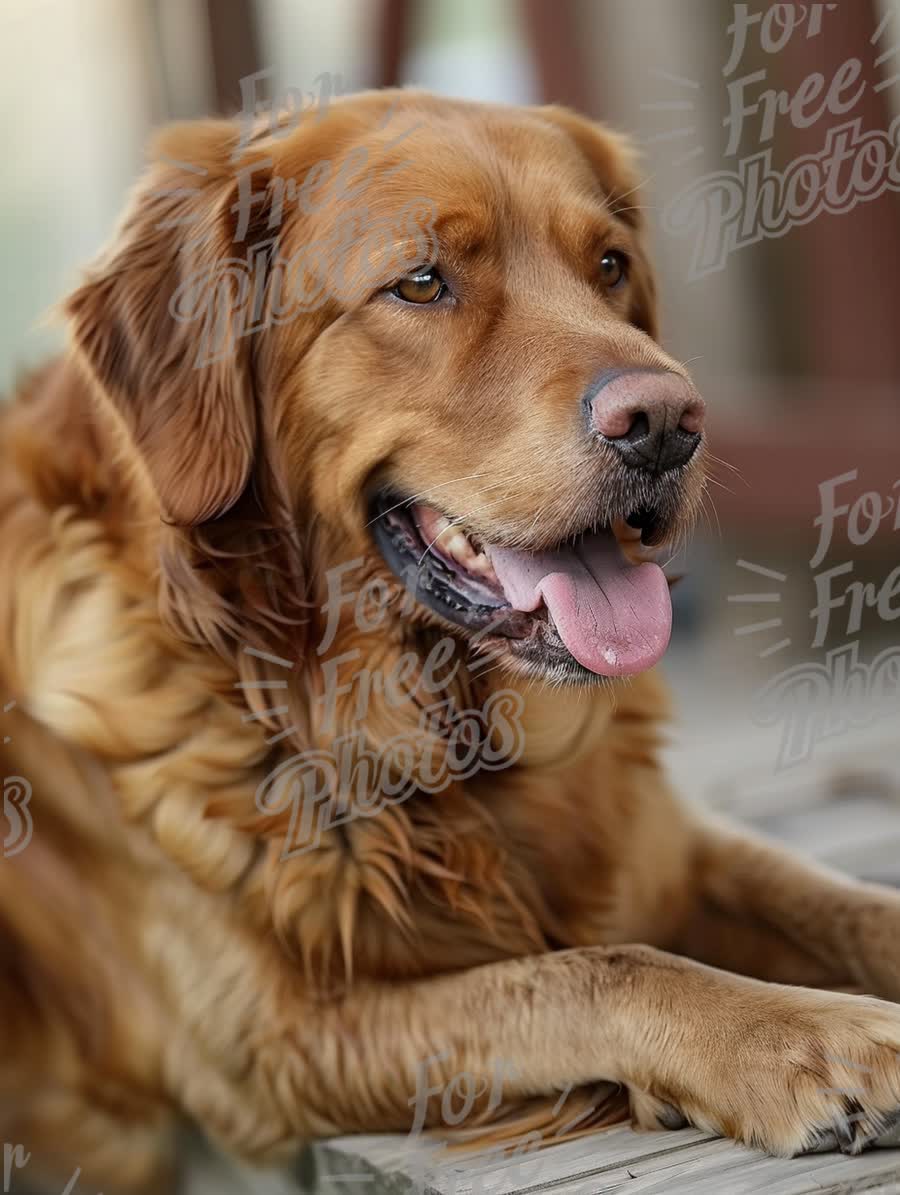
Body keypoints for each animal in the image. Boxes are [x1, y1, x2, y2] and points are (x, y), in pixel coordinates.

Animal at [1, 88, 898, 1190]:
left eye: (609, 265)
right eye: (422, 282)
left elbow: (837, 896)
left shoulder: (665, 846)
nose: (668, 420)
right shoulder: (276, 1047)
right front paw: (811, 1038)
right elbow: (601, 967)